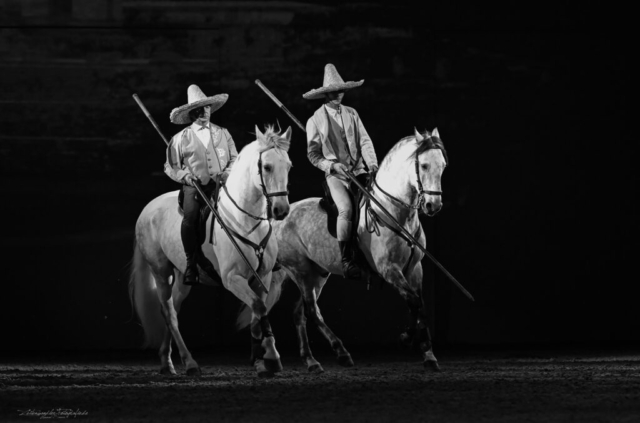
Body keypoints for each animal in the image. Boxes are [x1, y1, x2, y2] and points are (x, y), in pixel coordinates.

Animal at [129, 123, 292, 378]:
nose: (281, 210)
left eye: (289, 166)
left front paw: (259, 361)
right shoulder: (232, 278)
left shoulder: (262, 277)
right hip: (161, 271)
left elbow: (258, 314)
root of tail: (148, 207)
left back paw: (167, 361)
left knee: (174, 309)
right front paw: (273, 359)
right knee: (168, 312)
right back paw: (189, 363)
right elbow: (258, 307)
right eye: (267, 167)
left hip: (183, 278)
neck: (244, 220)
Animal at [238, 127, 448, 372]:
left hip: (317, 273)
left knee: (300, 313)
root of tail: (277, 219)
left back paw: (311, 359)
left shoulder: (415, 269)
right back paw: (339, 352)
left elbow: (420, 305)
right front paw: (406, 339)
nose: (433, 206)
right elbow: (414, 301)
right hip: (299, 270)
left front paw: (429, 355)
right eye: (423, 165)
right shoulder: (389, 269)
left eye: (443, 165)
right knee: (310, 311)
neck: (393, 212)